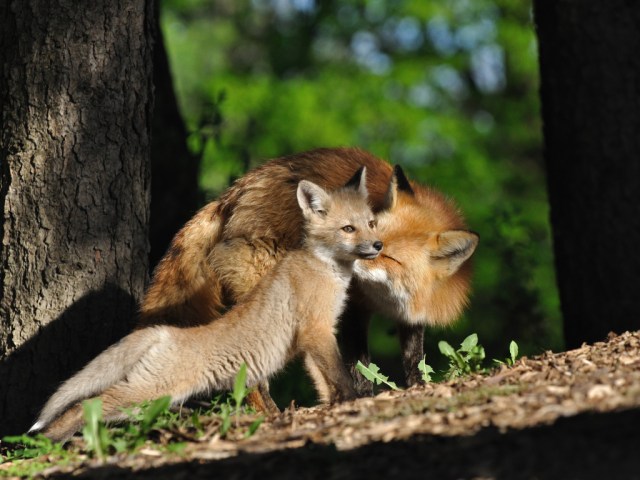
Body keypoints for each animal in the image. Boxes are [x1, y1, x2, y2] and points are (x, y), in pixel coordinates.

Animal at [31, 170, 380, 442]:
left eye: (371, 223)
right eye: (348, 229)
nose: (378, 245)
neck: (323, 267)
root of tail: (164, 332)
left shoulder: (310, 339)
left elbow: (324, 381)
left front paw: (331, 406)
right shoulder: (316, 329)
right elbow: (340, 376)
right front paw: (353, 402)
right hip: (150, 391)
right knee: (85, 404)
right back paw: (44, 442)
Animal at [141, 148, 480, 404]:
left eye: (390, 256)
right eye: (368, 231)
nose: (353, 259)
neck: (388, 299)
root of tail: (235, 190)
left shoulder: (412, 315)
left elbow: (413, 359)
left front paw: (417, 387)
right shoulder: (353, 308)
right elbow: (360, 366)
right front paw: (365, 397)